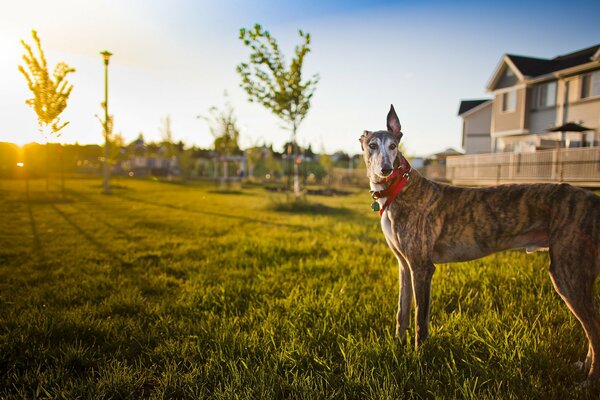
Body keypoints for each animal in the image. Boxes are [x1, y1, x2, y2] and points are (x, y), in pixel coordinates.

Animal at [360, 104, 600, 386]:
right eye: (372, 145)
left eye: (393, 146)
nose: (385, 169)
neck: (400, 188)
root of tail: (594, 200)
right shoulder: (404, 265)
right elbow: (402, 312)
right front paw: (398, 347)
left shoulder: (422, 268)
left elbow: (421, 319)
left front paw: (419, 360)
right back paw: (584, 367)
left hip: (567, 272)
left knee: (594, 328)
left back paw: (590, 380)